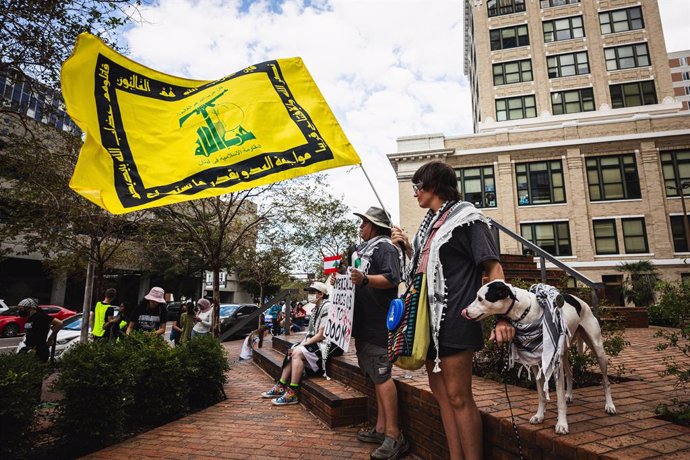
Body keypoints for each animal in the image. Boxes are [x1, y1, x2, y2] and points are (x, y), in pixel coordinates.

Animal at [462, 278, 612, 434]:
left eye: (480, 298)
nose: (464, 312)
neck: (525, 311)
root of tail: (579, 300)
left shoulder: (555, 365)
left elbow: (559, 399)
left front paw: (562, 424)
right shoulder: (535, 364)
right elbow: (541, 395)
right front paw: (539, 415)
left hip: (598, 349)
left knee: (605, 381)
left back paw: (609, 406)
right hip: (563, 354)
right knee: (570, 373)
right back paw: (569, 395)